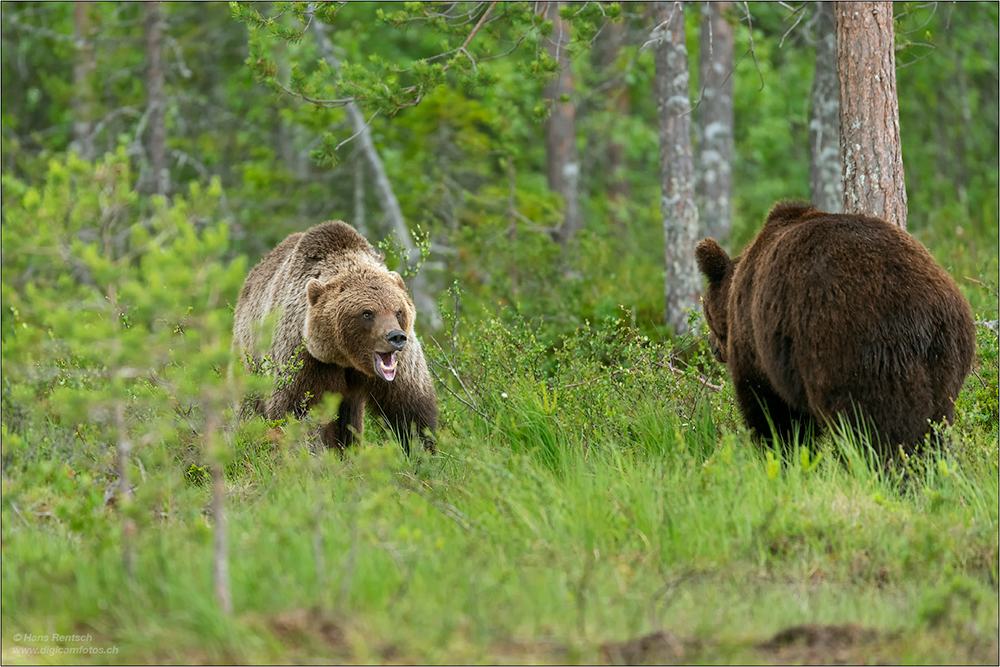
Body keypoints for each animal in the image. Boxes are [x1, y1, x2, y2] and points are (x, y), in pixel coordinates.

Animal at [696, 201, 976, 456]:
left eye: (705, 312)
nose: (711, 347)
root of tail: (926, 319)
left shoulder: (758, 344)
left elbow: (772, 411)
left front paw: (780, 451)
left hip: (856, 354)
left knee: (874, 430)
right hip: (948, 362)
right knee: (936, 426)